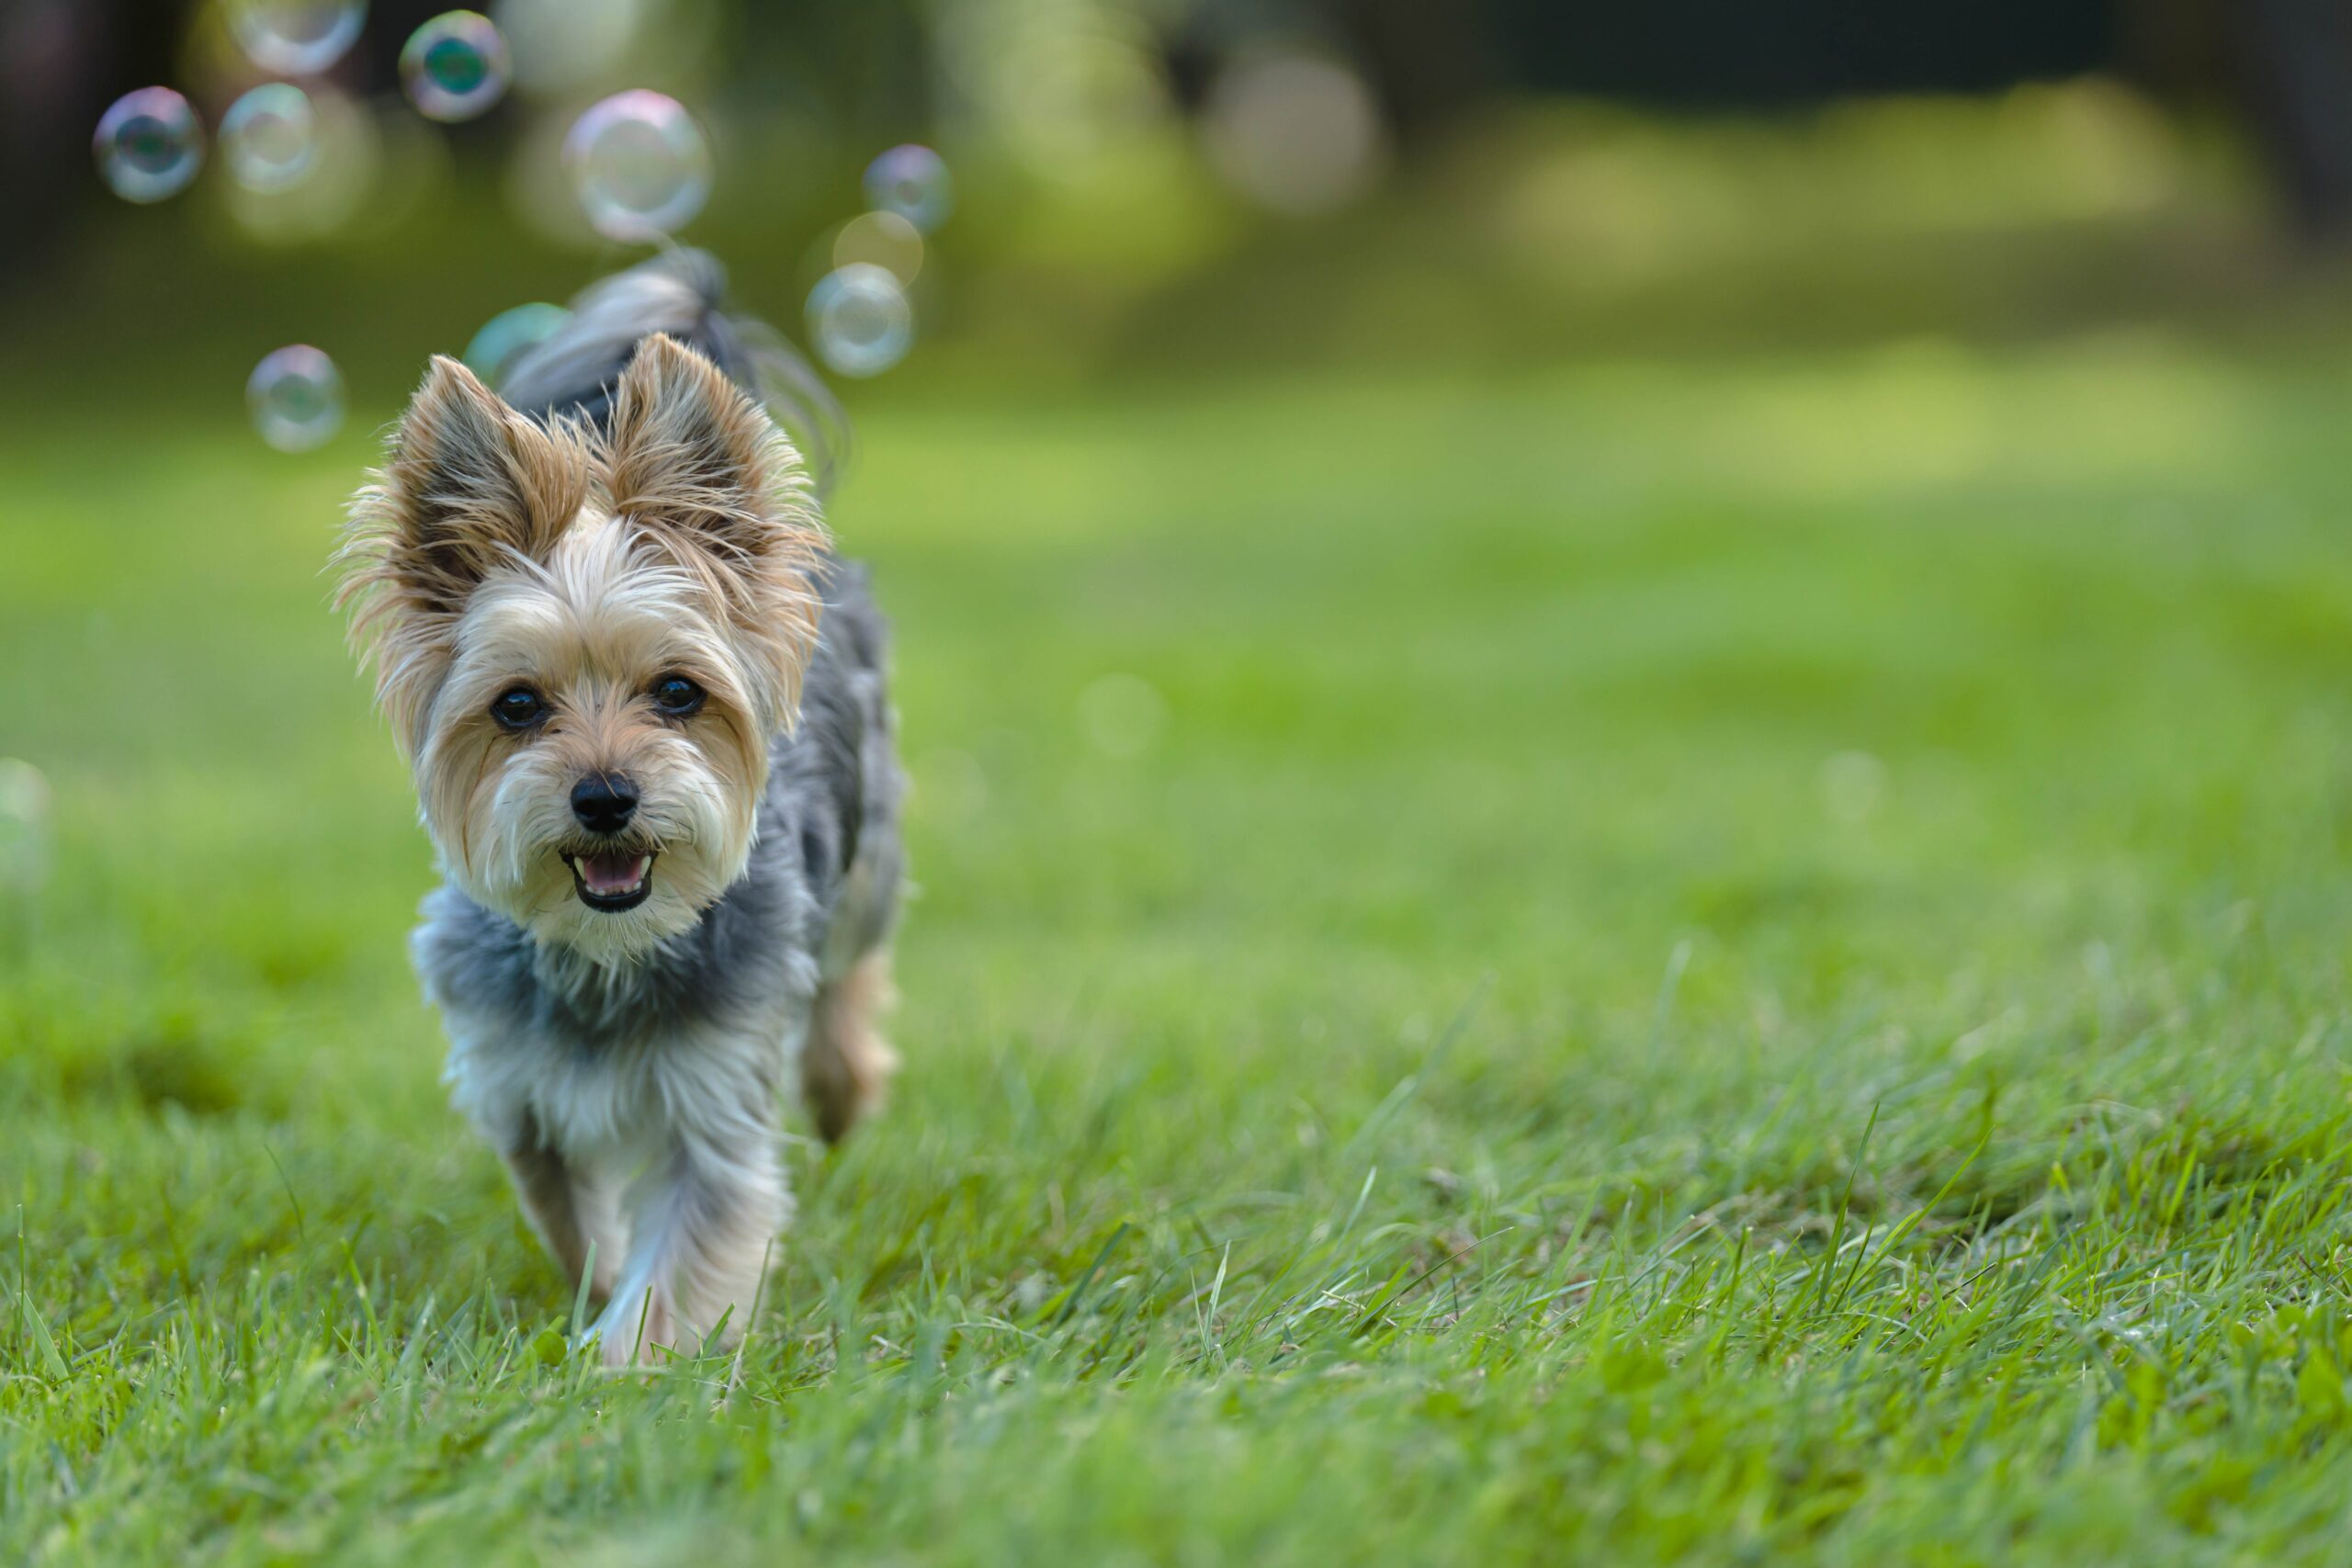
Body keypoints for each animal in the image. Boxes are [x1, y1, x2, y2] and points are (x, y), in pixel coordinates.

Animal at [341, 251, 898, 1363]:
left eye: (678, 692)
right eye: (516, 706)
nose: (604, 795)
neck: (608, 953)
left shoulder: (717, 1095)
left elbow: (683, 1253)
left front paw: (618, 1367)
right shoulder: (516, 1086)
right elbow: (569, 1214)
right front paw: (593, 1299)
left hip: (869, 845)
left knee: (852, 963)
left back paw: (842, 1084)